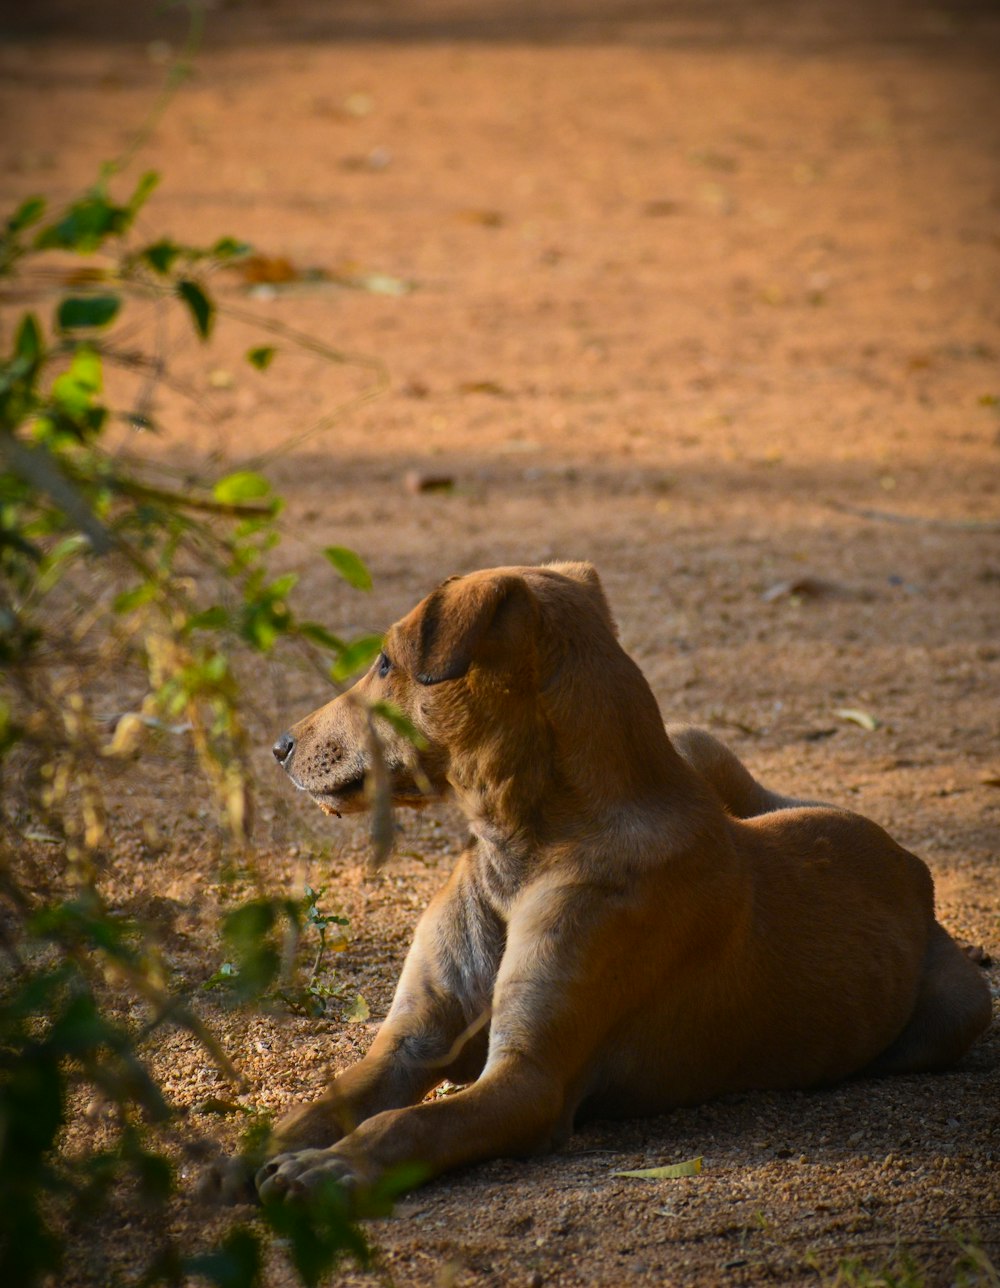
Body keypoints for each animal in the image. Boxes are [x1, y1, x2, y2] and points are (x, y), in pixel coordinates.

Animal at [256, 558, 984, 1200]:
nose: (279, 746)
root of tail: (908, 861)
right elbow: (321, 1106)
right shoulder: (411, 1043)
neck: (521, 852)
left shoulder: (529, 1081)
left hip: (960, 1009)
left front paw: (332, 1168)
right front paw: (257, 1156)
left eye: (384, 663)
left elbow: (407, 1123)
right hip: (698, 742)